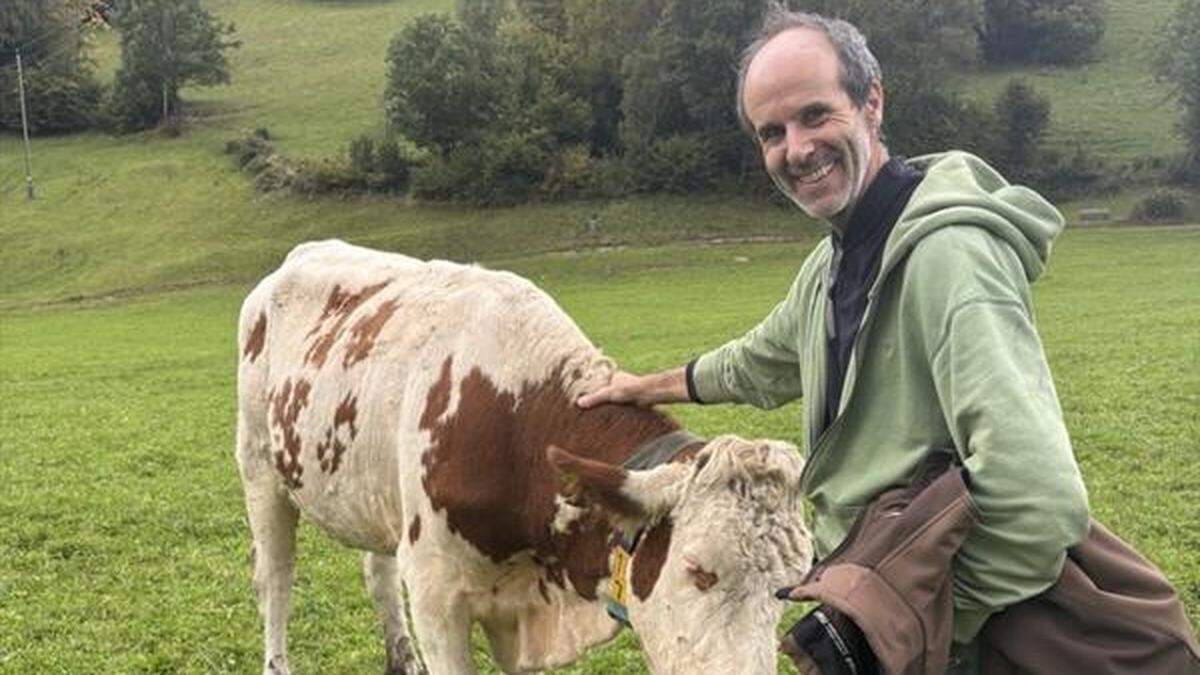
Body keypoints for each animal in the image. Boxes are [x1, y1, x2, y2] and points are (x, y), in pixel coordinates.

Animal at [234, 241, 816, 672]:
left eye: (787, 589)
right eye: (698, 570)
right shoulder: (435, 595)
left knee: (378, 576)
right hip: (260, 469)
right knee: (275, 578)